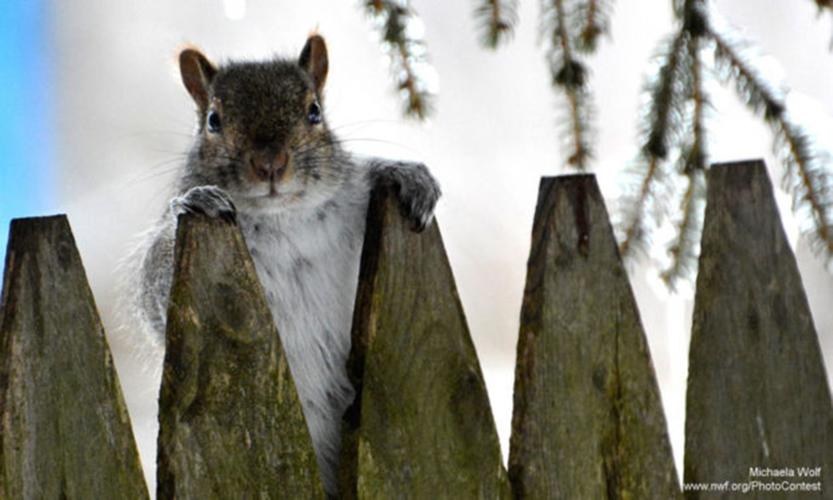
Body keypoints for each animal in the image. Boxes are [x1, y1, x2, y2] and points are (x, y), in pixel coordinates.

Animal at [124, 34, 440, 495]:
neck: (282, 217)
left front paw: (406, 175)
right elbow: (154, 288)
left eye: (314, 112)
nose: (270, 164)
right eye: (213, 121)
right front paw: (196, 200)